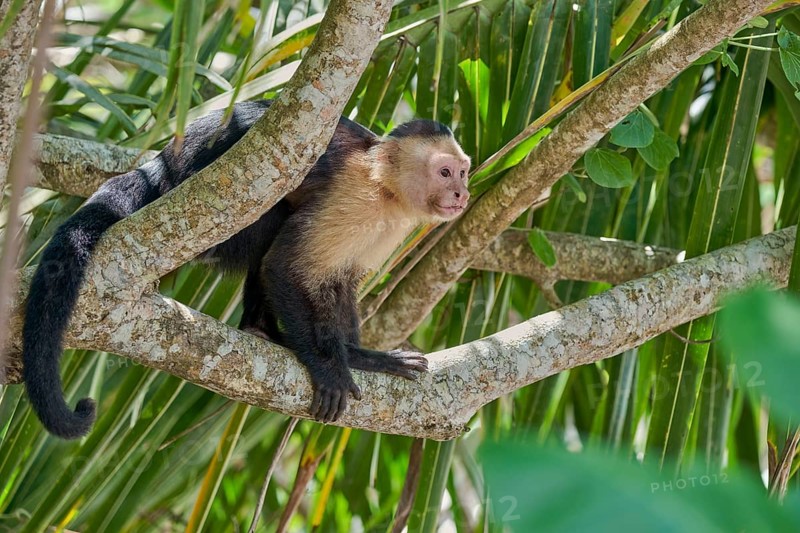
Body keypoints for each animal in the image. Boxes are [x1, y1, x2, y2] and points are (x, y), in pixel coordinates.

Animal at [22, 100, 471, 439]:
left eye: (463, 172)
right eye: (444, 172)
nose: (462, 193)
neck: (386, 188)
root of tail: (163, 169)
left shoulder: (391, 224)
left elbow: (341, 281)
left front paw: (360, 357)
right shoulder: (353, 197)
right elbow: (286, 266)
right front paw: (330, 365)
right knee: (272, 225)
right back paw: (268, 329)